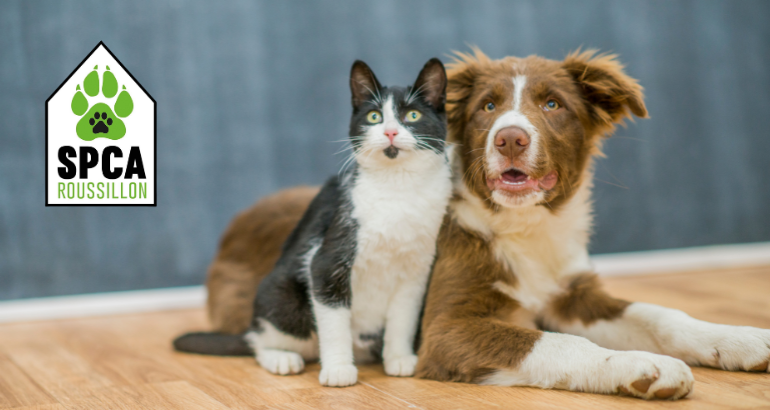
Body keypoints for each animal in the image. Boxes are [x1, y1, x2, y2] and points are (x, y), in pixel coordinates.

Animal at [173, 58, 450, 388]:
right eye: (374, 116)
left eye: (413, 115)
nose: (391, 133)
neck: (398, 189)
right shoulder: (327, 260)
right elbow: (334, 321)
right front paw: (338, 369)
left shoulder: (416, 272)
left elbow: (403, 319)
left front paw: (399, 358)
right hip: (285, 300)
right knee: (260, 341)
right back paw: (281, 358)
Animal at [201, 48, 764, 400]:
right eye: (488, 107)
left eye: (553, 104)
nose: (510, 138)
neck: (522, 228)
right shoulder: (446, 327)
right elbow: (556, 343)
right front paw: (637, 366)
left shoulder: (572, 294)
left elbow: (660, 314)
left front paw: (742, 340)